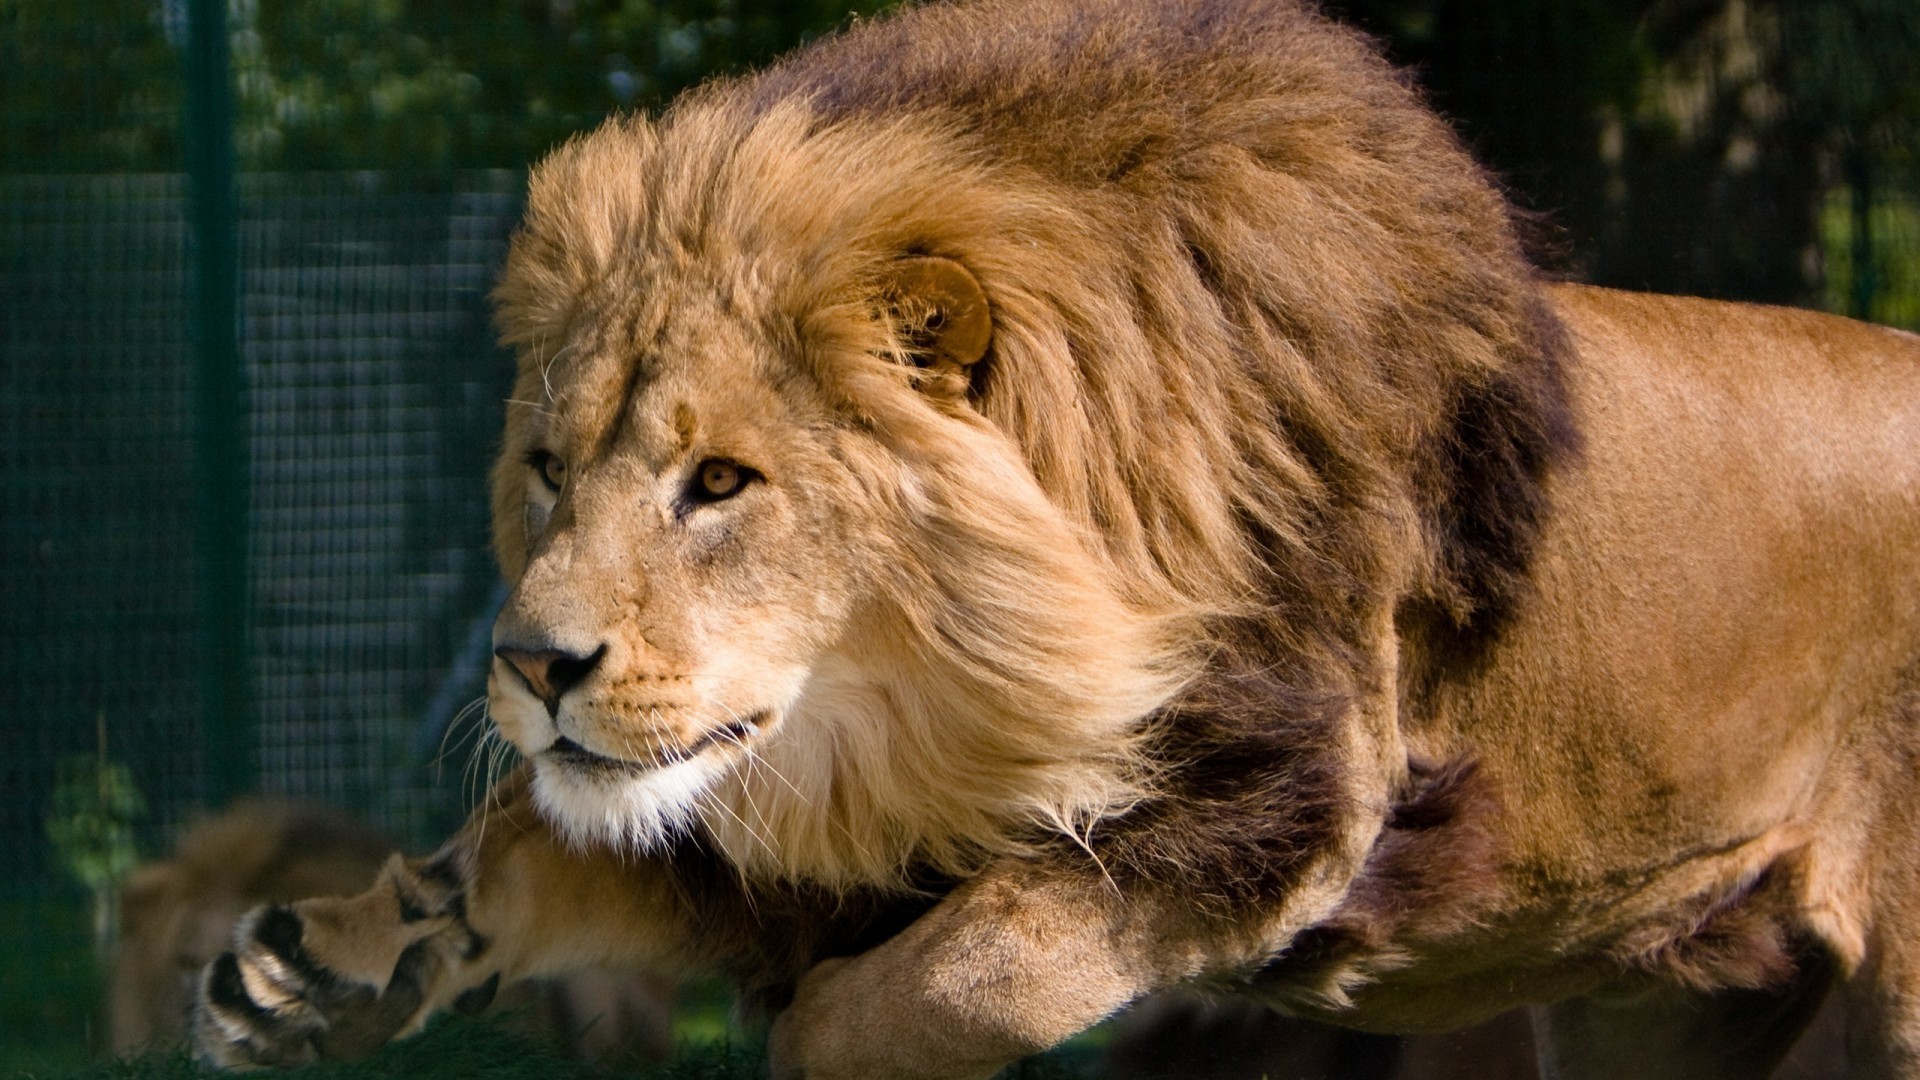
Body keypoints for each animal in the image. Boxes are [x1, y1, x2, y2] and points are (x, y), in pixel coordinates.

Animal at [190, 0, 1920, 1076]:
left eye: (722, 485)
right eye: (548, 471)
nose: (530, 664)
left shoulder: (1297, 789)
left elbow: (974, 966)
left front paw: (811, 1033)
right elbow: (537, 844)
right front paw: (313, 968)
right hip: (1659, 999)